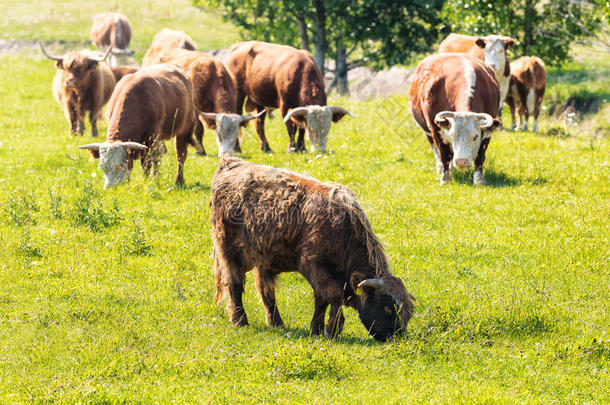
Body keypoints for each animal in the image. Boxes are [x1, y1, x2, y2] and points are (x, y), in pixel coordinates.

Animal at [211, 156, 416, 340]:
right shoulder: (314, 266)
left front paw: (323, 329)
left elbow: (322, 300)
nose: (396, 336)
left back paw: (277, 323)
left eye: (407, 313)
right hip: (229, 253)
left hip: (264, 260)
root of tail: (230, 163)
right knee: (234, 285)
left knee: (266, 290)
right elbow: (332, 296)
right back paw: (240, 321)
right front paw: (329, 328)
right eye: (388, 308)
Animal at [408, 53, 498, 185]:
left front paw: (478, 180)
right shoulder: (435, 130)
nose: (461, 161)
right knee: (438, 151)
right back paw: (441, 169)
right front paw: (445, 179)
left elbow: (480, 156)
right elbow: (443, 154)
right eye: (452, 135)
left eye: (475, 137)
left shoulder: (487, 131)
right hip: (427, 131)